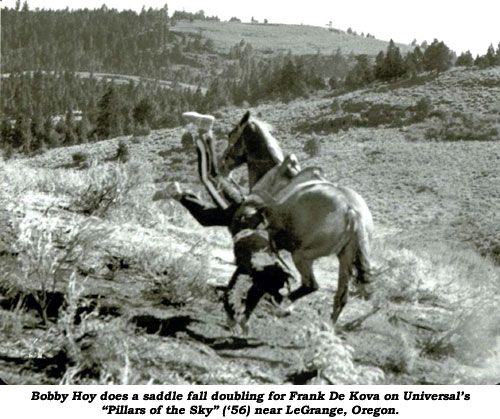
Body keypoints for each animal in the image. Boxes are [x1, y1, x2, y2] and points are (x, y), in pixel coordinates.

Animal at [221, 111, 374, 324]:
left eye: (231, 134)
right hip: (344, 258)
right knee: (340, 297)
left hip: (302, 255)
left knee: (311, 285)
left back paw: (281, 305)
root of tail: (352, 212)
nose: (223, 164)